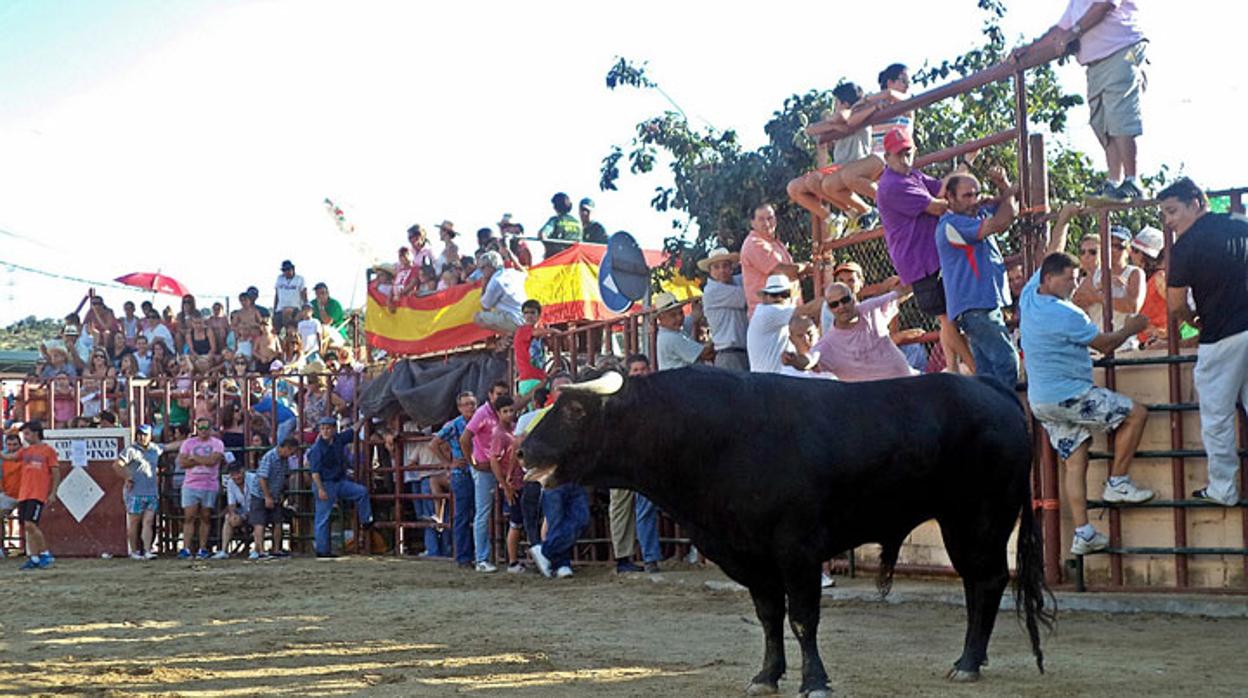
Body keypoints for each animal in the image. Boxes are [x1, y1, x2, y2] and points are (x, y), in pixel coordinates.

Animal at [516, 369, 1053, 694]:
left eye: (575, 411)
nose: (522, 451)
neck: (713, 436)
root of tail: (988, 386)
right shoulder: (751, 557)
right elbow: (770, 617)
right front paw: (766, 675)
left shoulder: (798, 551)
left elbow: (802, 619)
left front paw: (814, 680)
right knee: (976, 586)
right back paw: (970, 660)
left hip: (980, 518)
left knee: (988, 582)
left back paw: (968, 662)